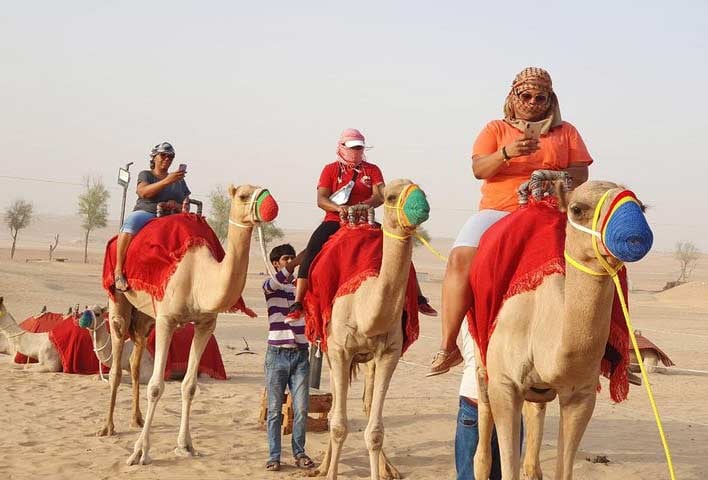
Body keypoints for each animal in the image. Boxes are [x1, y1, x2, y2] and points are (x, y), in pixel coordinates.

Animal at [103, 184, 280, 464]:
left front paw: (185, 446)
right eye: (243, 195)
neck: (198, 276)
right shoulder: (166, 320)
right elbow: (155, 387)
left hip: (145, 316)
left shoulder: (205, 324)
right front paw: (140, 452)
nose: (272, 206)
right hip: (118, 300)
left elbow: (190, 386)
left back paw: (136, 418)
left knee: (134, 360)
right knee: (117, 352)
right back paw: (108, 426)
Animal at [312, 180, 428, 480]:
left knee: (365, 405)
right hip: (329, 349)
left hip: (368, 360)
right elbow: (338, 425)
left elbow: (375, 431)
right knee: (334, 408)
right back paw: (322, 466)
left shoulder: (389, 353)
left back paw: (389, 469)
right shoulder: (340, 350)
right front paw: (330, 473)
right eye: (391, 196)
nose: (423, 208)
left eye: (423, 190)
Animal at [476, 181, 652, 480]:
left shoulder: (580, 395)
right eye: (577, 209)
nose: (635, 235)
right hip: (482, 360)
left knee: (535, 412)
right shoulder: (504, 384)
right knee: (482, 424)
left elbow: (563, 470)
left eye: (641, 207)